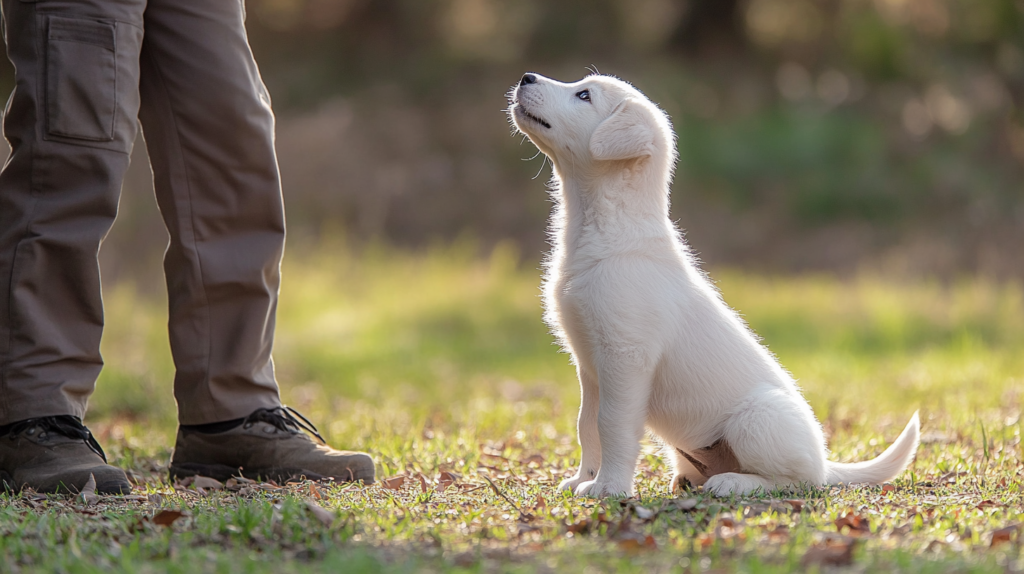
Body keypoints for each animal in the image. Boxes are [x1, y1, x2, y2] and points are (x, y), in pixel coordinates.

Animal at [509, 72, 921, 497]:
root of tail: (827, 463)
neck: (604, 230)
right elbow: (586, 426)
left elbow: (613, 426)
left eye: (584, 95)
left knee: (797, 480)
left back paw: (733, 482)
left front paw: (610, 487)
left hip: (757, 419)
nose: (526, 77)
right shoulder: (589, 364)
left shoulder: (625, 358)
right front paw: (583, 478)